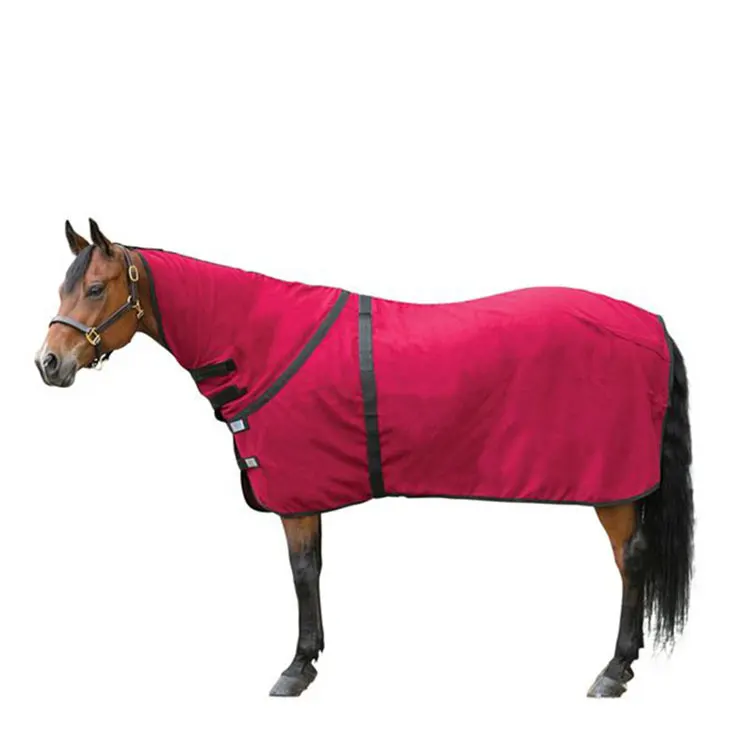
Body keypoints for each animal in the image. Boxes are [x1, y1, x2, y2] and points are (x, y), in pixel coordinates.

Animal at [36, 219, 693, 698]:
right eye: (63, 289)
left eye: (95, 288)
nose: (48, 363)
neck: (259, 340)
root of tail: (653, 325)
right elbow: (315, 569)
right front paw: (311, 656)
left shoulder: (296, 495)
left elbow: (302, 572)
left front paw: (297, 668)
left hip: (614, 490)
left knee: (630, 562)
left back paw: (614, 670)